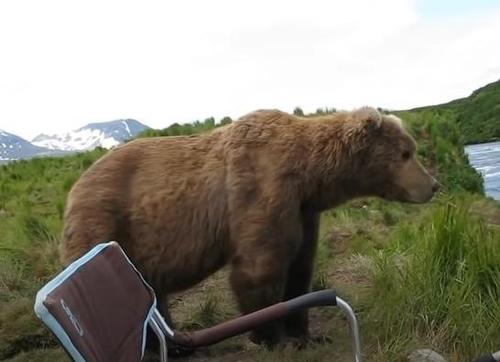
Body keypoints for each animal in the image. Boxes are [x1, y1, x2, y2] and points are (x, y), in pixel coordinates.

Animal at [60, 108, 440, 350]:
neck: (309, 174)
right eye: (406, 153)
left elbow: (300, 269)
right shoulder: (261, 188)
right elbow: (260, 268)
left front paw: (307, 333)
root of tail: (74, 188)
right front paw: (274, 338)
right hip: (105, 223)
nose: (433, 185)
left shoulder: (304, 211)